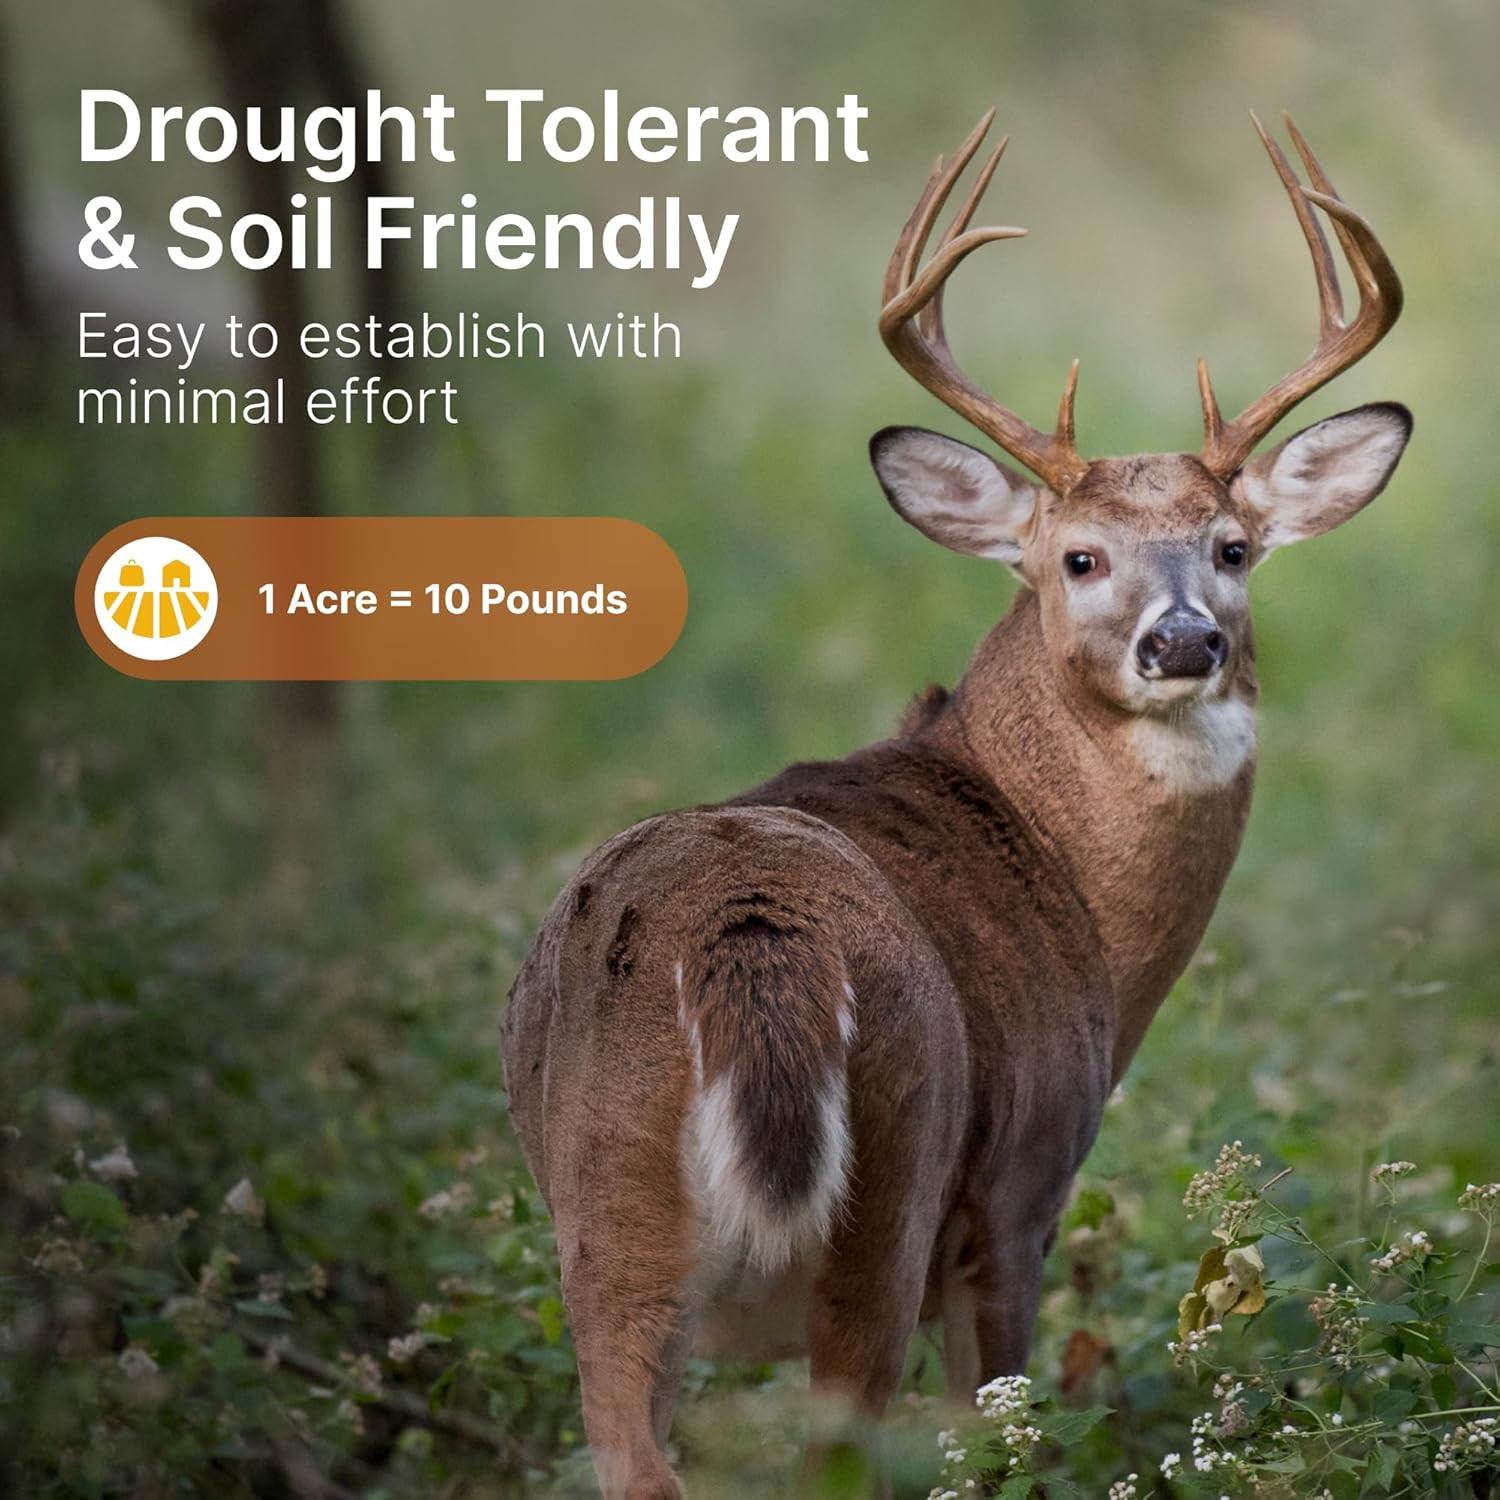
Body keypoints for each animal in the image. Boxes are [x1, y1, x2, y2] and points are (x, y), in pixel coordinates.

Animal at [501, 110, 1409, 1499]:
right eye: (1078, 557)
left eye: (1233, 548)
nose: (1183, 640)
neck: (1065, 878)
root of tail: (750, 948)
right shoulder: (1022, 1192)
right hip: (894, 1187)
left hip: (603, 1213)